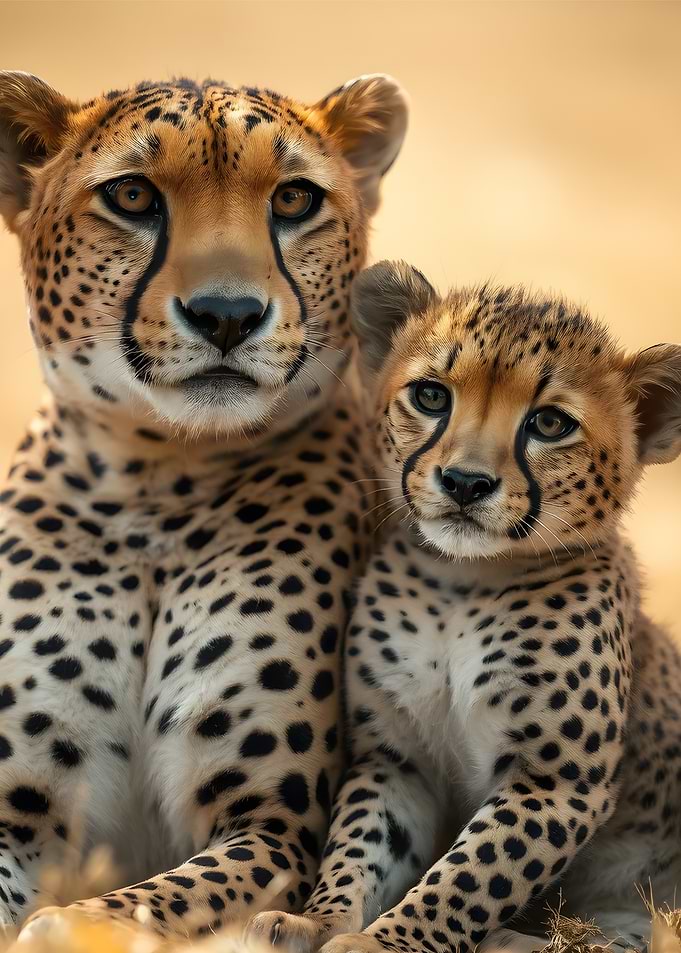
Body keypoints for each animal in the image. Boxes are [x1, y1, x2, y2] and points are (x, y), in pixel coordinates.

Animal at [0, 72, 407, 939]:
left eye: (292, 198)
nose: (227, 314)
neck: (157, 476)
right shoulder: (17, 807)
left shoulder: (271, 824)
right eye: (132, 195)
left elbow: (124, 906)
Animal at [250, 261, 681, 953]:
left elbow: (468, 878)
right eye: (431, 396)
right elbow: (358, 847)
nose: (465, 483)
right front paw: (318, 921)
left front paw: (383, 943)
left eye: (550, 424)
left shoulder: (554, 784)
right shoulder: (397, 759)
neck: (462, 582)